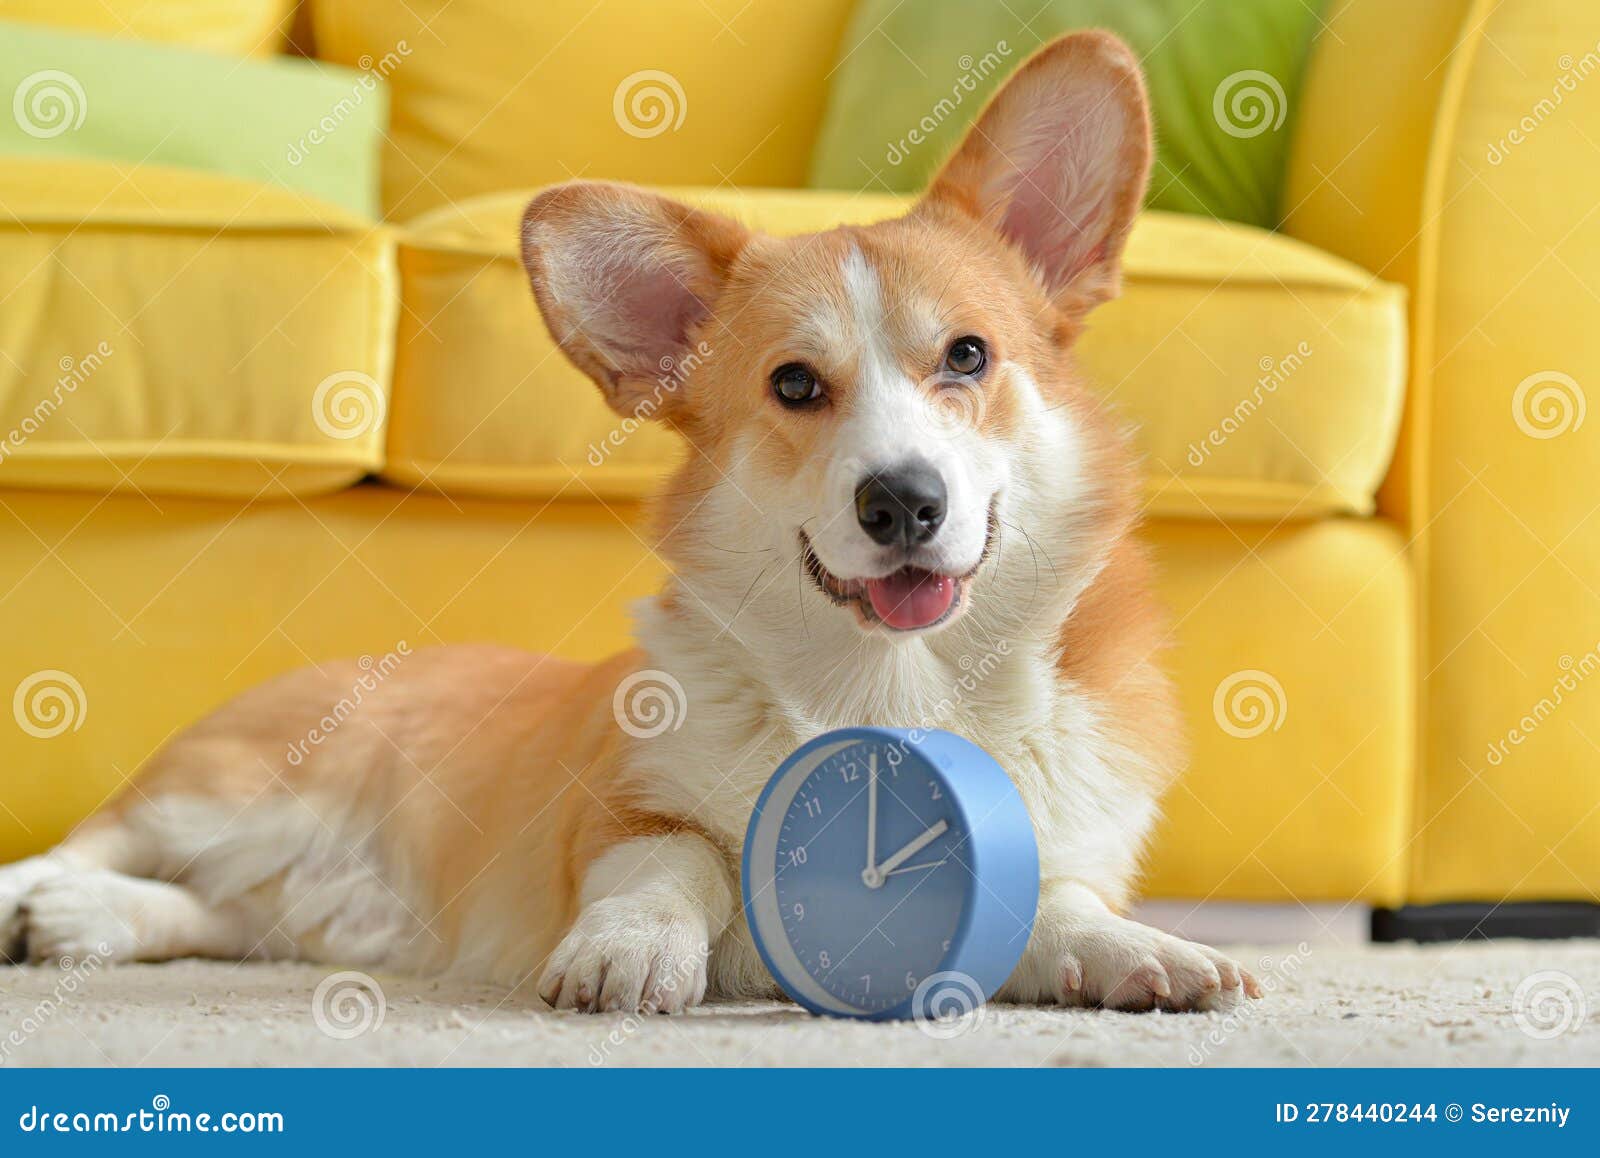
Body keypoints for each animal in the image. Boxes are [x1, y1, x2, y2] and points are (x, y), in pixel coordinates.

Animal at [0, 33, 1248, 1010]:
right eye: (795, 385)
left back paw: (84, 924)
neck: (894, 685)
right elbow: (670, 868)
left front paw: (1145, 953)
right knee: (84, 844)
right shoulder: (620, 810)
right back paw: (39, 904)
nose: (902, 502)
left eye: (969, 356)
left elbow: (1058, 900)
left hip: (276, 891)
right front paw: (629, 954)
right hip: (227, 794)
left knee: (209, 912)